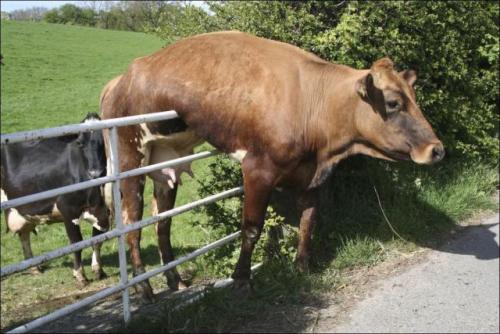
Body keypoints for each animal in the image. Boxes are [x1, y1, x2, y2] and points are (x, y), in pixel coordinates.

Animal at [0, 113, 110, 284]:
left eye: (104, 140)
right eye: (79, 143)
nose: (95, 173)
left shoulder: (104, 211)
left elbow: (97, 239)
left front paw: (98, 270)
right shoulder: (68, 210)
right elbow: (77, 242)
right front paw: (80, 274)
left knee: (24, 235)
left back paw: (34, 268)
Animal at [99, 30, 444, 300]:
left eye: (414, 98)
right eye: (393, 103)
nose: (436, 150)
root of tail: (119, 80)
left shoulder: (312, 176)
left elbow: (308, 220)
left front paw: (302, 267)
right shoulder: (257, 170)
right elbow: (252, 228)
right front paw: (241, 279)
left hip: (165, 162)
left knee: (162, 222)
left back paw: (175, 280)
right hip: (129, 157)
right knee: (131, 224)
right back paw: (144, 290)